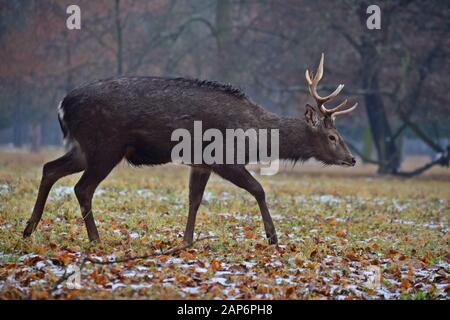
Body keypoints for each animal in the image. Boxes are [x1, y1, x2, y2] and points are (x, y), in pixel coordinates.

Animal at [22, 54, 356, 248]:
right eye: (332, 136)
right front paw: (273, 237)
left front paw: (185, 241)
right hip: (105, 145)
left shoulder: (201, 162)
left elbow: (194, 199)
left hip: (85, 148)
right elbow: (259, 189)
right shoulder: (223, 157)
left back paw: (29, 229)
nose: (352, 159)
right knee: (82, 187)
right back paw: (95, 239)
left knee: (50, 169)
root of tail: (63, 105)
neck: (255, 134)